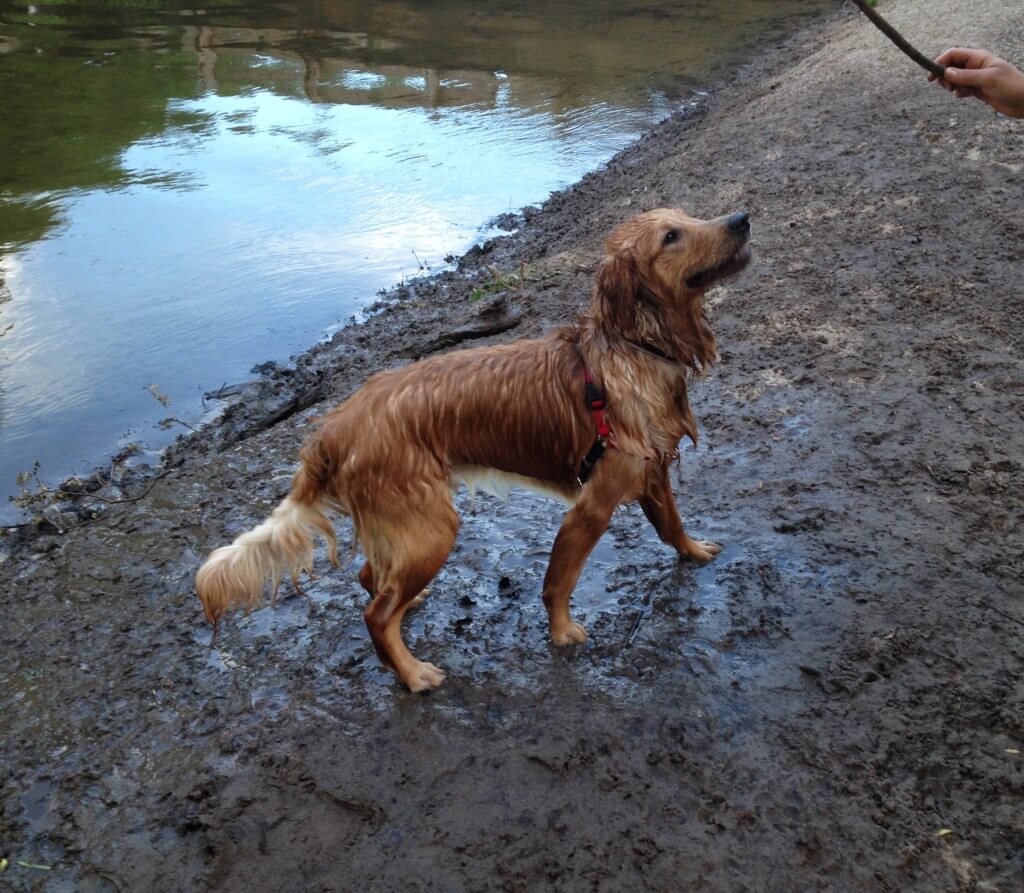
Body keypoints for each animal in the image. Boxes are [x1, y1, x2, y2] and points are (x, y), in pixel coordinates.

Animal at [193, 207, 753, 692]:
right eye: (671, 236)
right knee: (375, 615)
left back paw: (410, 606)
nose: (741, 219)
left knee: (372, 577)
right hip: (433, 525)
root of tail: (333, 427)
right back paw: (413, 674)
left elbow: (671, 525)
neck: (634, 350)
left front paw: (694, 552)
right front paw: (561, 633)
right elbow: (558, 582)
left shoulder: (653, 471)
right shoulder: (591, 506)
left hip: (404, 525)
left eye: (687, 216)